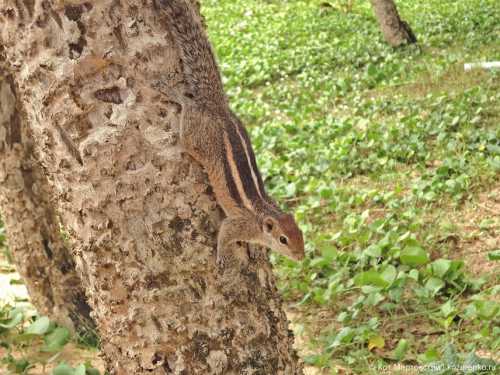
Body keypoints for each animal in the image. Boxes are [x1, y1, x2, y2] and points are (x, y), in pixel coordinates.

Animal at [157, 0, 304, 270]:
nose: (301, 256)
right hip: (198, 139)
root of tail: (219, 109)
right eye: (283, 239)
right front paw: (223, 257)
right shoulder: (237, 224)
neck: (264, 215)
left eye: (301, 233)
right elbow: (224, 235)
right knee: (188, 117)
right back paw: (176, 95)